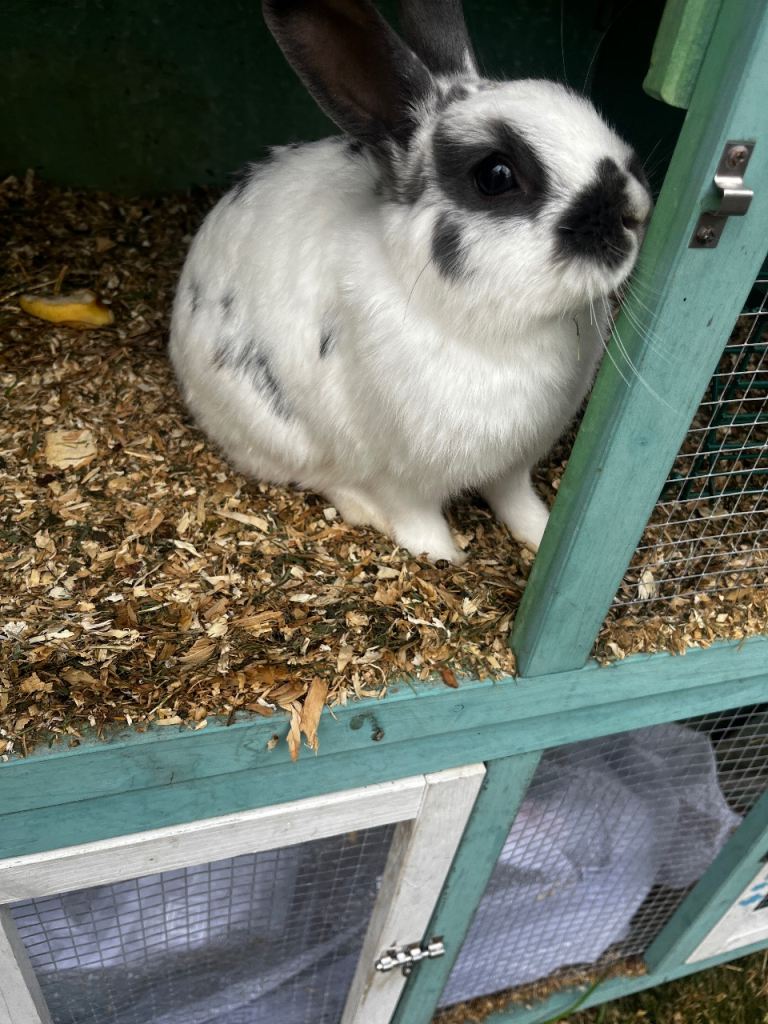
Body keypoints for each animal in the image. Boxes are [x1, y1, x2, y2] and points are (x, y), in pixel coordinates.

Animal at [169, 0, 652, 564]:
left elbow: (516, 500)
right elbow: (417, 518)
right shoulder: (400, 478)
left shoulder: (514, 463)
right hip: (275, 434)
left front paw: (539, 533)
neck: (495, 332)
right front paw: (446, 558)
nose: (635, 210)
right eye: (495, 175)